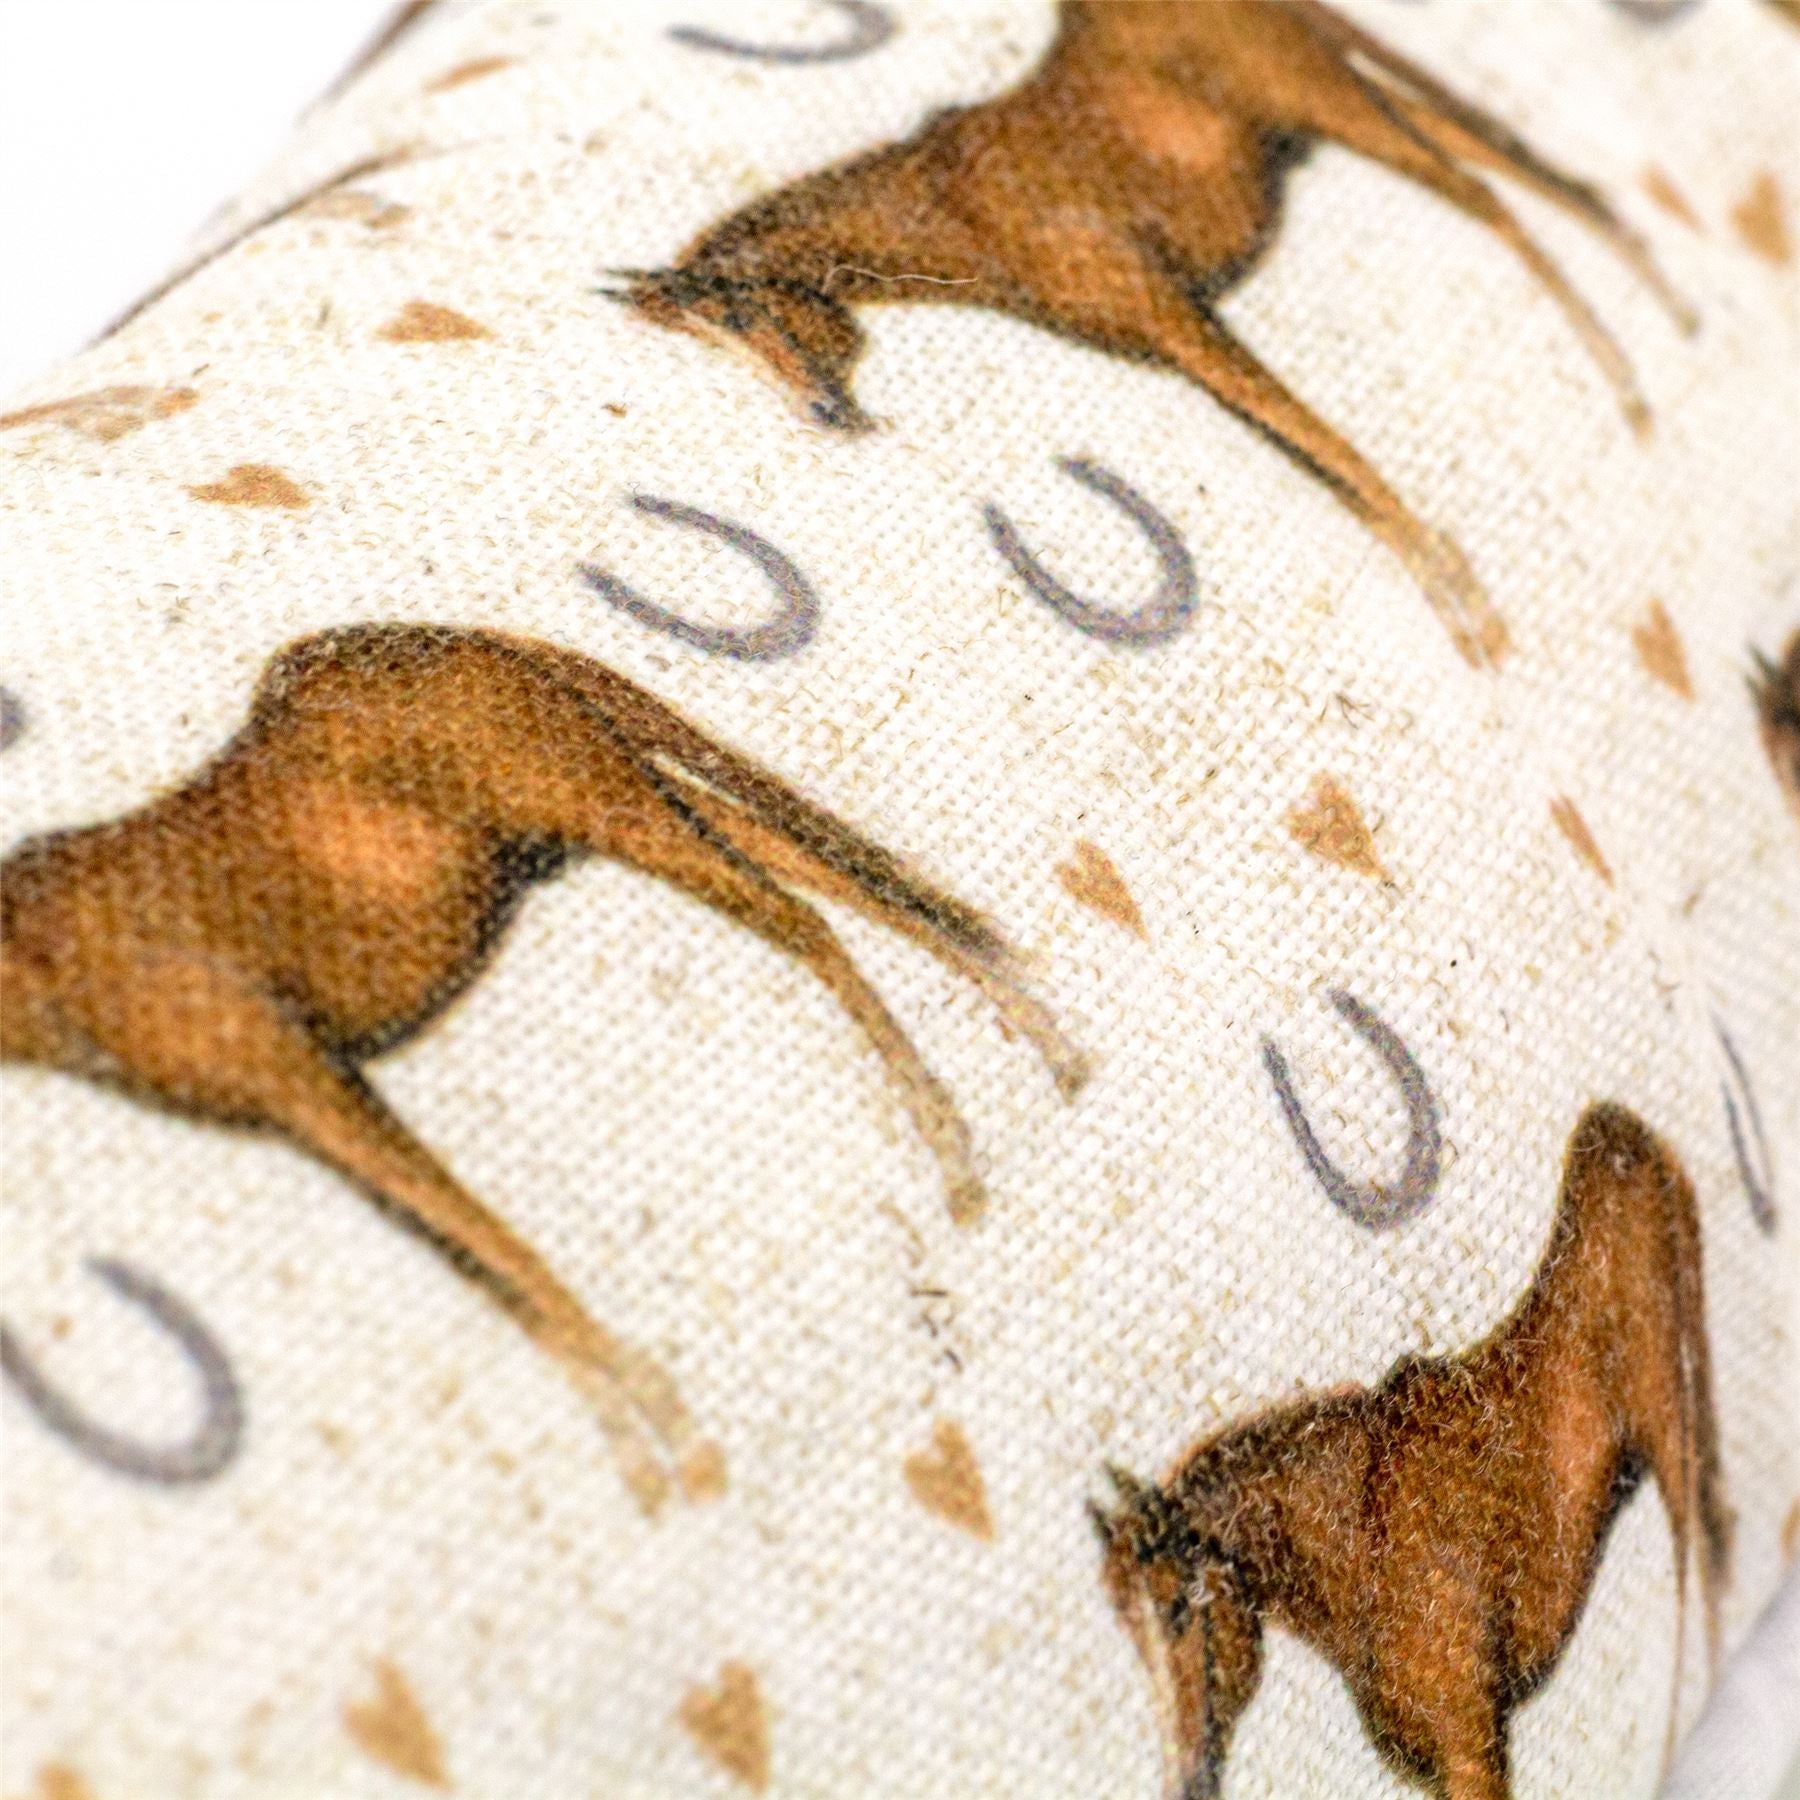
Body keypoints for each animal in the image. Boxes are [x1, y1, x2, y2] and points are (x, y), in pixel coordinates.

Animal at [0, 624, 1084, 1516]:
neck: (41, 959)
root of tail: (484, 639)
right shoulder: (303, 1123)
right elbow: (485, 1273)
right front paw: (647, 1459)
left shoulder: (307, 1081)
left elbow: (499, 1249)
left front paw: (677, 1446)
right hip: (633, 798)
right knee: (848, 880)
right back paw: (1052, 1050)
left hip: (611, 807)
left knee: (804, 919)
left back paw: (962, 1154)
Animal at [618, 0, 1694, 669]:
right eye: (708, 338)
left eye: (737, 312)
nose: (826, 413)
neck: (961, 218)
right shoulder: (1174, 347)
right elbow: (1321, 467)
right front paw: (1463, 614)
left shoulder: (1177, 315)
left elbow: (1327, 449)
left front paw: (1474, 617)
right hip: (1334, 98)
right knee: (1532, 176)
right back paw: (1660, 325)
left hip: (1327, 95)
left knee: (1495, 197)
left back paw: (1641, 374)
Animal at [1091, 1101, 1730, 1800]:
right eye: (1124, 1624)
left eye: (1179, 1609)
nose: (1188, 1781)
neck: (1362, 1546)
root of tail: (1622, 1131)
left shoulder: (1472, 1755)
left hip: (1673, 1430)